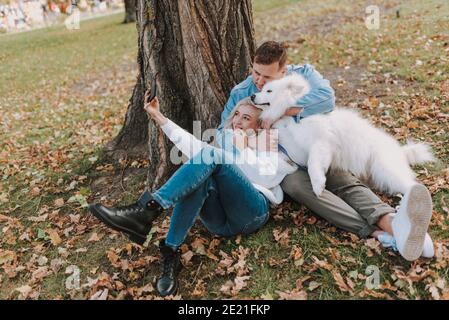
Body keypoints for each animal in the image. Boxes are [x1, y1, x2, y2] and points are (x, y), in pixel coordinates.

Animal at [248, 74, 434, 198]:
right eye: (261, 89)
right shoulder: (295, 146)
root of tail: (400, 150)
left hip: (387, 169)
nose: (252, 95)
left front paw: (318, 185)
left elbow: (313, 163)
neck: (292, 116)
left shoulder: (321, 142)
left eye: (268, 90)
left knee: (412, 184)